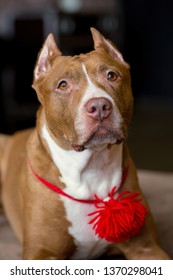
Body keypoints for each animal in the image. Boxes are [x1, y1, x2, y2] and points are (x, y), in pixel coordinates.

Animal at [0, 27, 170, 260]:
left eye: (111, 75)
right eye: (63, 85)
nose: (99, 106)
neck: (90, 168)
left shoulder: (146, 246)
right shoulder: (41, 252)